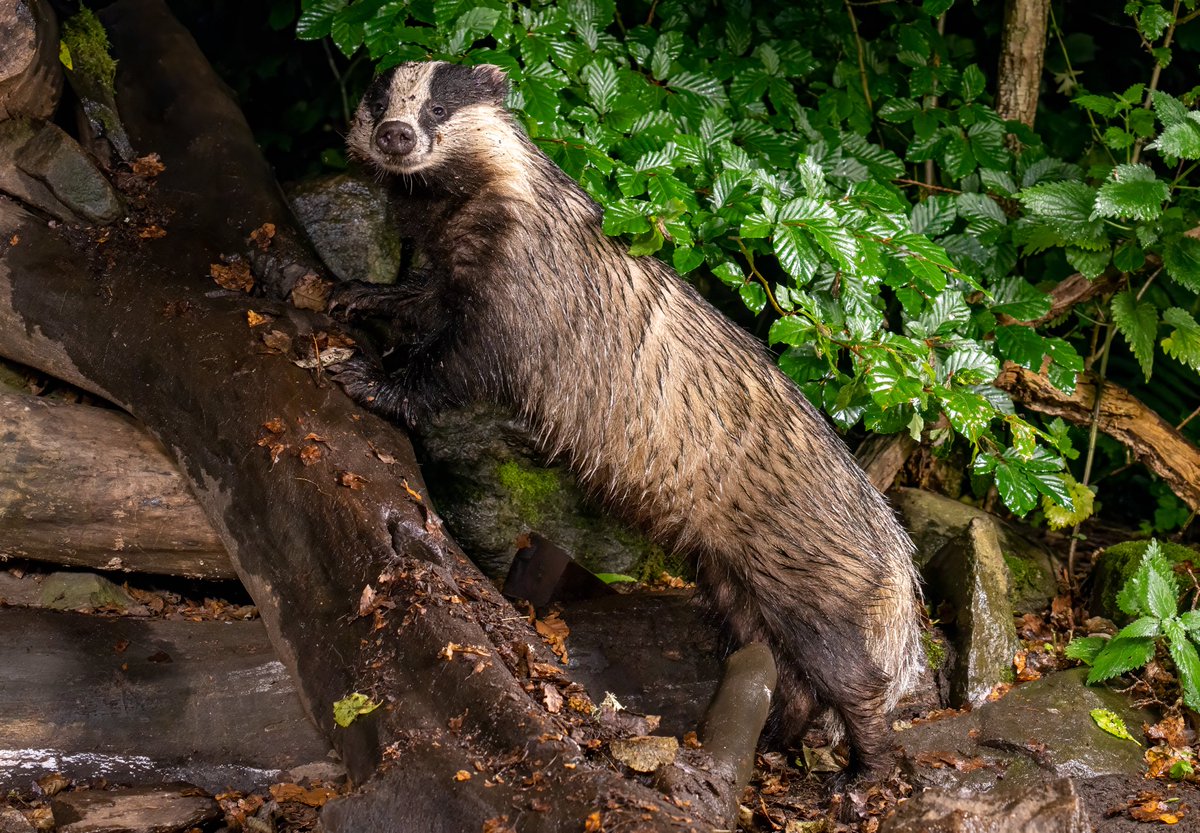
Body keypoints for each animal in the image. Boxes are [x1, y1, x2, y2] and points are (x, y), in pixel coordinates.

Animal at [330, 60, 923, 777]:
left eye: (439, 107)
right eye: (380, 97)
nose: (395, 134)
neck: (466, 207)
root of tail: (891, 543)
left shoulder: (520, 291)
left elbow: (459, 362)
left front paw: (372, 380)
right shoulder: (455, 268)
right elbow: (422, 299)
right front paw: (359, 293)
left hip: (811, 574)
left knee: (845, 671)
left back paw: (867, 765)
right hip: (734, 577)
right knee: (775, 659)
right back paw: (775, 736)